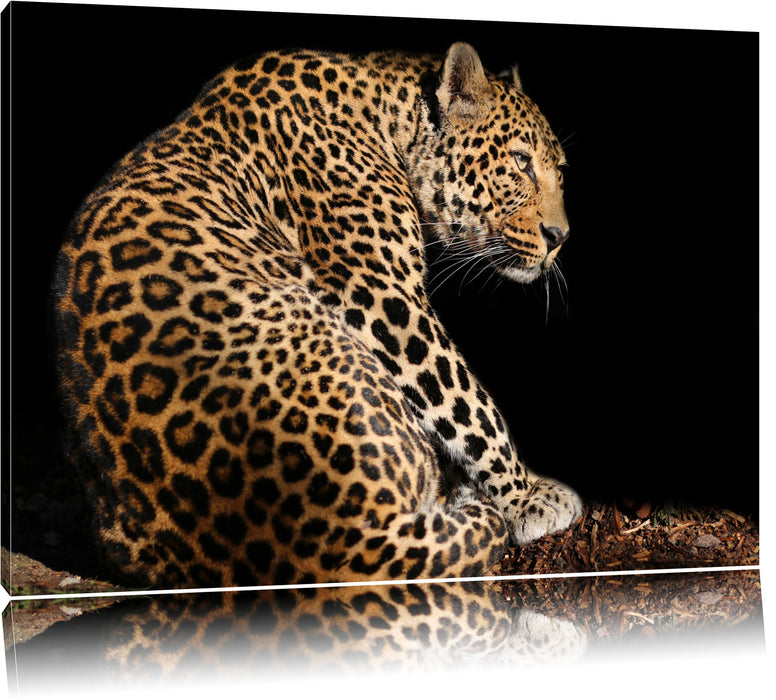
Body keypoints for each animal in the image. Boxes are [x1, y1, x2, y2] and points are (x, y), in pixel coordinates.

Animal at [53, 41, 583, 589]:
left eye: (560, 172)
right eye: (520, 162)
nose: (560, 237)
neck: (389, 118)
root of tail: (325, 539)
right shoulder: (378, 292)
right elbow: (463, 398)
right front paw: (528, 497)